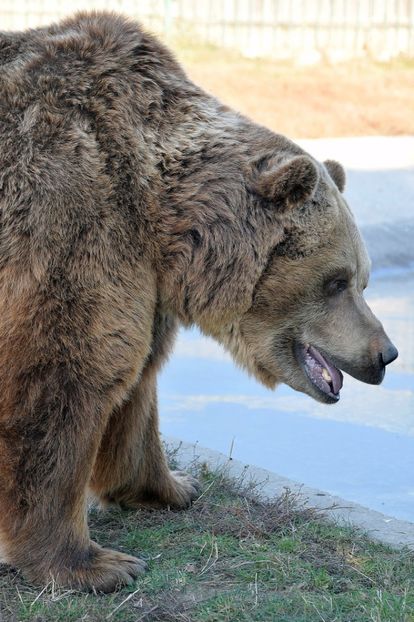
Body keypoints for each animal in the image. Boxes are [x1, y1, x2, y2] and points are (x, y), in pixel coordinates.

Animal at [0, 12, 398, 592]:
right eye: (337, 280)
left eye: (364, 281)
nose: (385, 353)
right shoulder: (67, 216)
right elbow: (62, 377)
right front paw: (95, 563)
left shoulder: (144, 278)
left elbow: (138, 380)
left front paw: (171, 486)